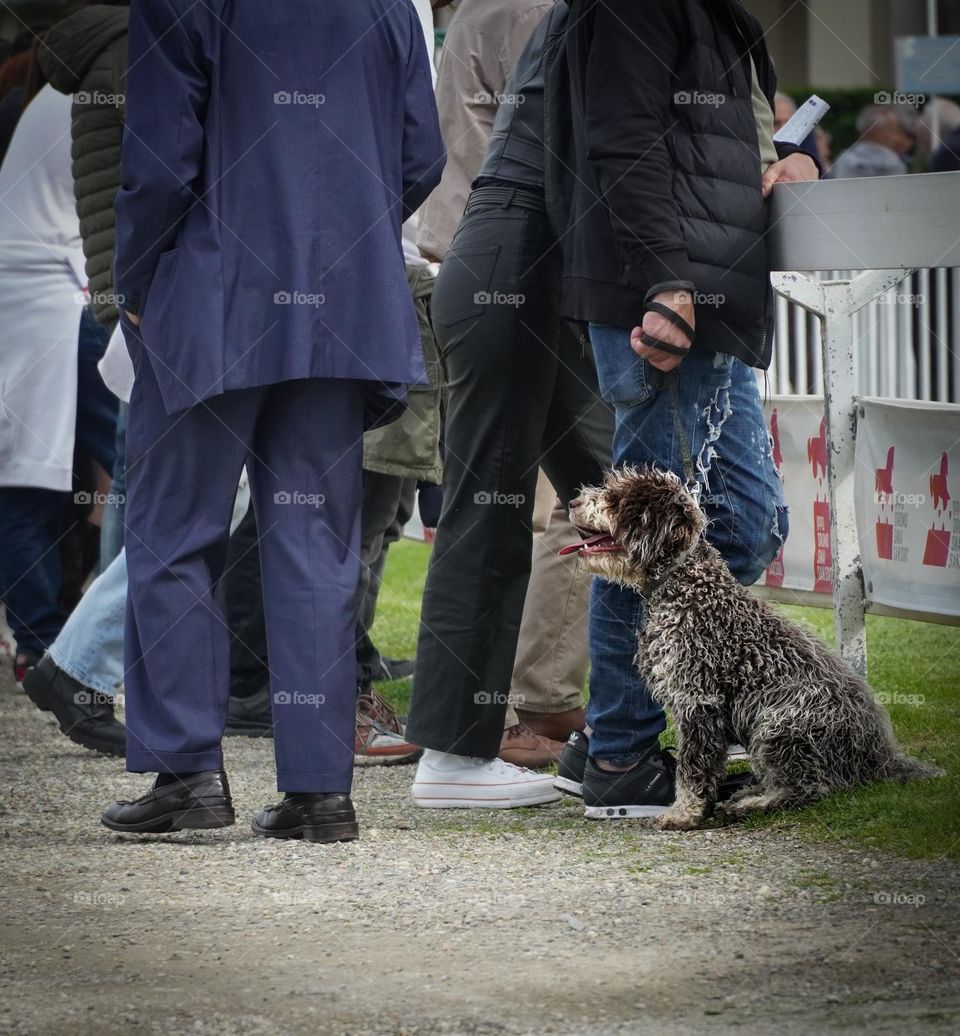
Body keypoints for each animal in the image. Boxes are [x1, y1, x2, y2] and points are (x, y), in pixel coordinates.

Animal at [567, 466, 940, 828]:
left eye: (615, 499)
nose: (572, 502)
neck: (687, 586)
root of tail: (879, 757)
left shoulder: (699, 702)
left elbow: (693, 767)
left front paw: (685, 813)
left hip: (779, 724)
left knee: (813, 787)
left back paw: (754, 803)